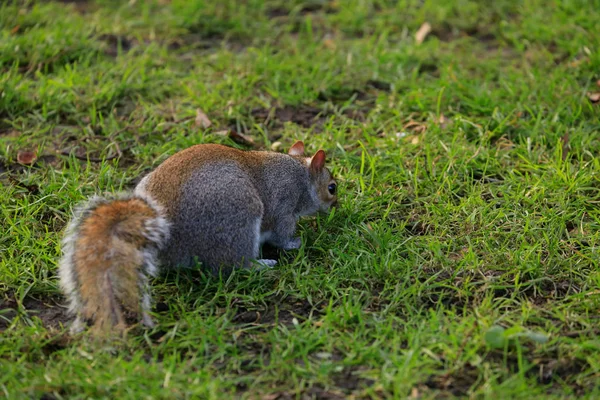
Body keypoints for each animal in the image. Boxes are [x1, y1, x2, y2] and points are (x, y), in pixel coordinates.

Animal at [58, 141, 338, 334]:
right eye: (332, 187)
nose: (336, 206)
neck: (299, 174)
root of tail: (167, 236)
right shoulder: (284, 204)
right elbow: (282, 233)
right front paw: (296, 243)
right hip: (239, 217)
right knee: (234, 265)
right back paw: (261, 265)